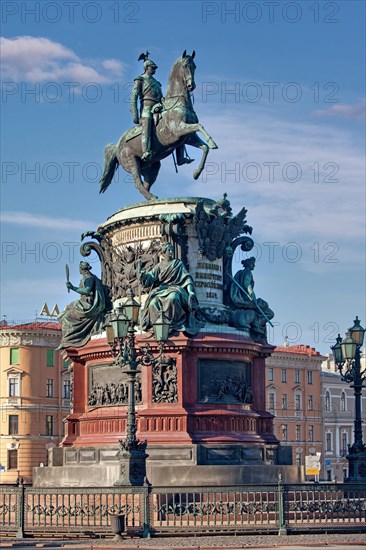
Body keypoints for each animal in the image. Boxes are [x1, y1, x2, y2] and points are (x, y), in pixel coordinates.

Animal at [98, 51, 217, 203]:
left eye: (194, 66)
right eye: (185, 65)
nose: (191, 85)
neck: (177, 103)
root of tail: (117, 145)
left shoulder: (188, 137)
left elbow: (204, 147)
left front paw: (196, 173)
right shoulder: (179, 129)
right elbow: (199, 126)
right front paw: (213, 142)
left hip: (152, 166)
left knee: (146, 184)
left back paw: (150, 200)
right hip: (132, 162)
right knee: (138, 183)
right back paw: (152, 197)